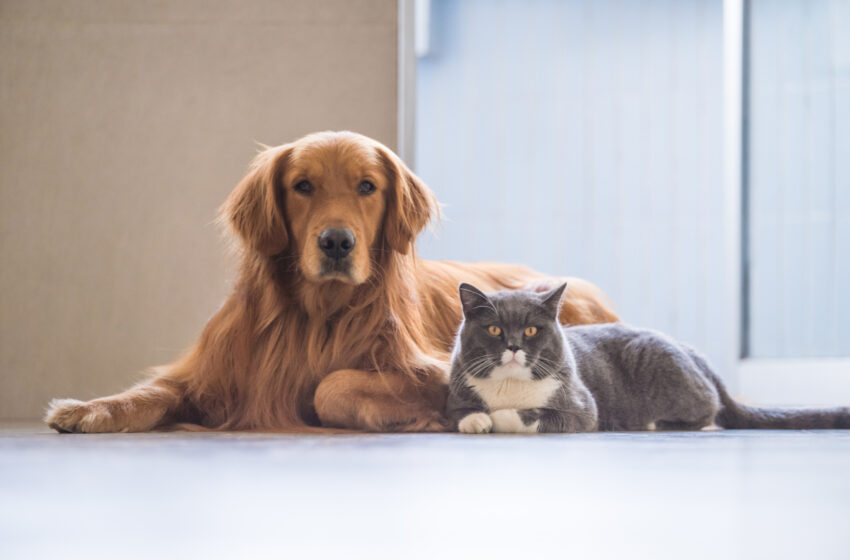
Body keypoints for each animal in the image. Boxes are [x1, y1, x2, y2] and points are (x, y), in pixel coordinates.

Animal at [44, 130, 616, 434]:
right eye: (302, 186)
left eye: (367, 186)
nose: (337, 241)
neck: (319, 313)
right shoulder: (213, 371)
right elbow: (152, 390)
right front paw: (87, 409)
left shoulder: (433, 370)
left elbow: (330, 385)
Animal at [444, 284, 848, 434]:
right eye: (494, 329)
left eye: (530, 330)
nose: (513, 346)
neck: (510, 385)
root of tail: (693, 352)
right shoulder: (455, 390)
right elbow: (460, 411)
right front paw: (475, 419)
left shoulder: (580, 407)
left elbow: (529, 414)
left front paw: (498, 417)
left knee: (708, 411)